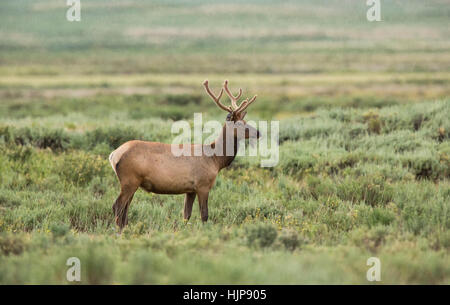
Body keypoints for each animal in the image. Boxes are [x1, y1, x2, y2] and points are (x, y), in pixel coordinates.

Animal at [109, 79, 260, 229]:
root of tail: (114, 155)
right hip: (129, 180)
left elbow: (186, 215)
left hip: (132, 183)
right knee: (118, 205)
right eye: (239, 124)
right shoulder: (203, 184)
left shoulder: (190, 189)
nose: (258, 132)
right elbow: (204, 215)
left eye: (245, 121)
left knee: (125, 209)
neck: (215, 160)